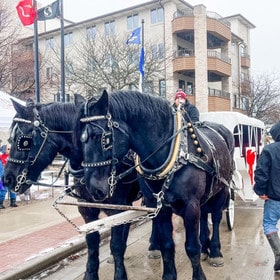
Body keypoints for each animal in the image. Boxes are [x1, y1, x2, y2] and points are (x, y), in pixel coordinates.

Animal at [4, 95, 143, 278]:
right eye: (10, 140)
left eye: (24, 141)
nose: (7, 179)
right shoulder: (87, 208)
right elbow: (92, 243)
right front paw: (90, 274)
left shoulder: (118, 207)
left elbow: (116, 244)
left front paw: (120, 274)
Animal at [74, 91, 234, 278]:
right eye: (80, 139)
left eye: (102, 137)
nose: (93, 188)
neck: (174, 153)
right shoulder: (159, 207)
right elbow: (167, 246)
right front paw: (169, 275)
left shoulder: (190, 205)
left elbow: (192, 247)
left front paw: (199, 275)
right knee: (204, 215)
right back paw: (205, 249)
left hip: (222, 189)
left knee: (215, 216)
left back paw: (215, 251)